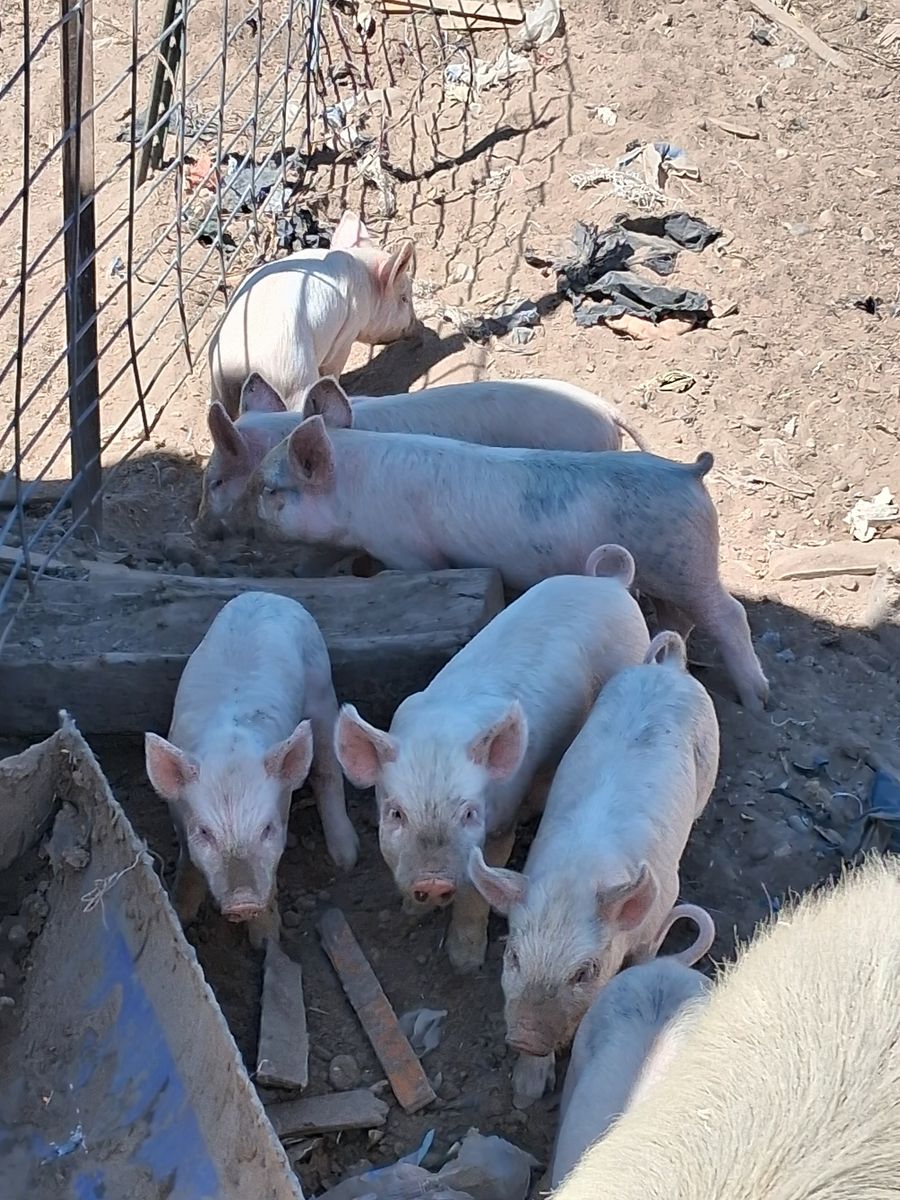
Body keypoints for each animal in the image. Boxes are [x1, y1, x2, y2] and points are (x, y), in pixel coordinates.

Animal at [143, 591, 358, 946]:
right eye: (205, 832)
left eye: (267, 829)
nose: (242, 902)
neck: (232, 750)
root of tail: (269, 594)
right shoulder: (178, 813)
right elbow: (188, 858)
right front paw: (180, 912)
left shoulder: (282, 808)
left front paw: (265, 941)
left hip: (322, 687)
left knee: (327, 768)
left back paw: (347, 860)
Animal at [208, 212, 419, 417]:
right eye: (404, 298)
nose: (416, 327)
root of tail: (237, 372)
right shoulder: (347, 332)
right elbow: (333, 367)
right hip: (294, 379)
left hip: (218, 390)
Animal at [250, 419, 769, 710]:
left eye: (272, 490)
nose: (249, 510)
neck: (353, 491)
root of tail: (687, 472)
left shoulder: (408, 550)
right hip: (670, 570)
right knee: (682, 617)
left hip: (686, 563)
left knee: (728, 614)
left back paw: (756, 700)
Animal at [334, 545, 651, 973]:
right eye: (396, 813)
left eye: (469, 813)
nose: (432, 882)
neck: (439, 732)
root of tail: (610, 583)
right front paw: (411, 912)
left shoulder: (500, 821)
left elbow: (479, 886)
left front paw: (464, 962)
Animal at [467, 629, 719, 1107]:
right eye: (512, 956)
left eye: (585, 972)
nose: (525, 1037)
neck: (577, 874)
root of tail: (670, 669)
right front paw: (527, 1092)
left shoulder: (662, 907)